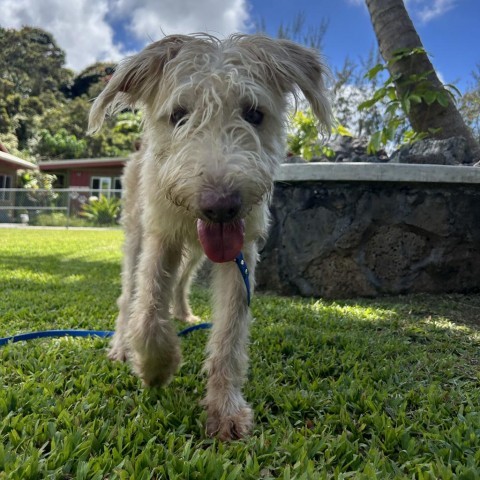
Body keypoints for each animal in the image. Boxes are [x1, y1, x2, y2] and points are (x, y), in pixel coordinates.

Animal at [88, 32, 332, 438]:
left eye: (254, 114)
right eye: (178, 115)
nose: (221, 207)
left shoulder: (240, 251)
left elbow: (230, 330)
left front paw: (225, 407)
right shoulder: (161, 237)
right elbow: (147, 310)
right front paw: (155, 368)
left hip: (200, 252)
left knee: (181, 283)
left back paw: (183, 313)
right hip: (136, 234)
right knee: (129, 295)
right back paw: (122, 344)